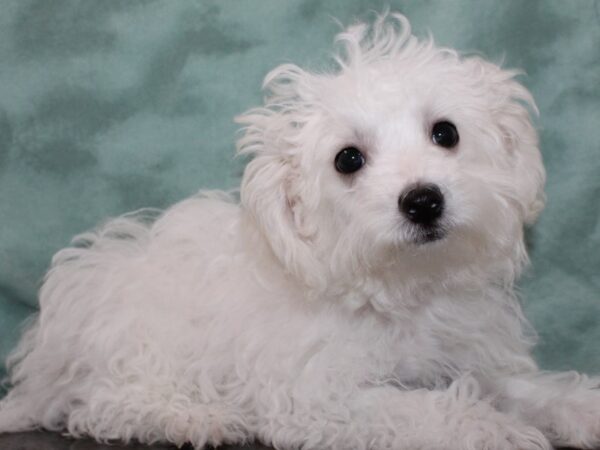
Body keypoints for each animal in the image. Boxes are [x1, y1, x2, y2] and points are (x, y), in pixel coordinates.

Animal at [1, 13, 600, 450]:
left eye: (446, 132)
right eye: (348, 159)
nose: (423, 200)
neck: (404, 286)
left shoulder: (477, 357)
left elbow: (532, 389)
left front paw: (582, 409)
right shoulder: (322, 396)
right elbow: (419, 407)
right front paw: (491, 429)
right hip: (136, 347)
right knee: (100, 404)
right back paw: (193, 418)